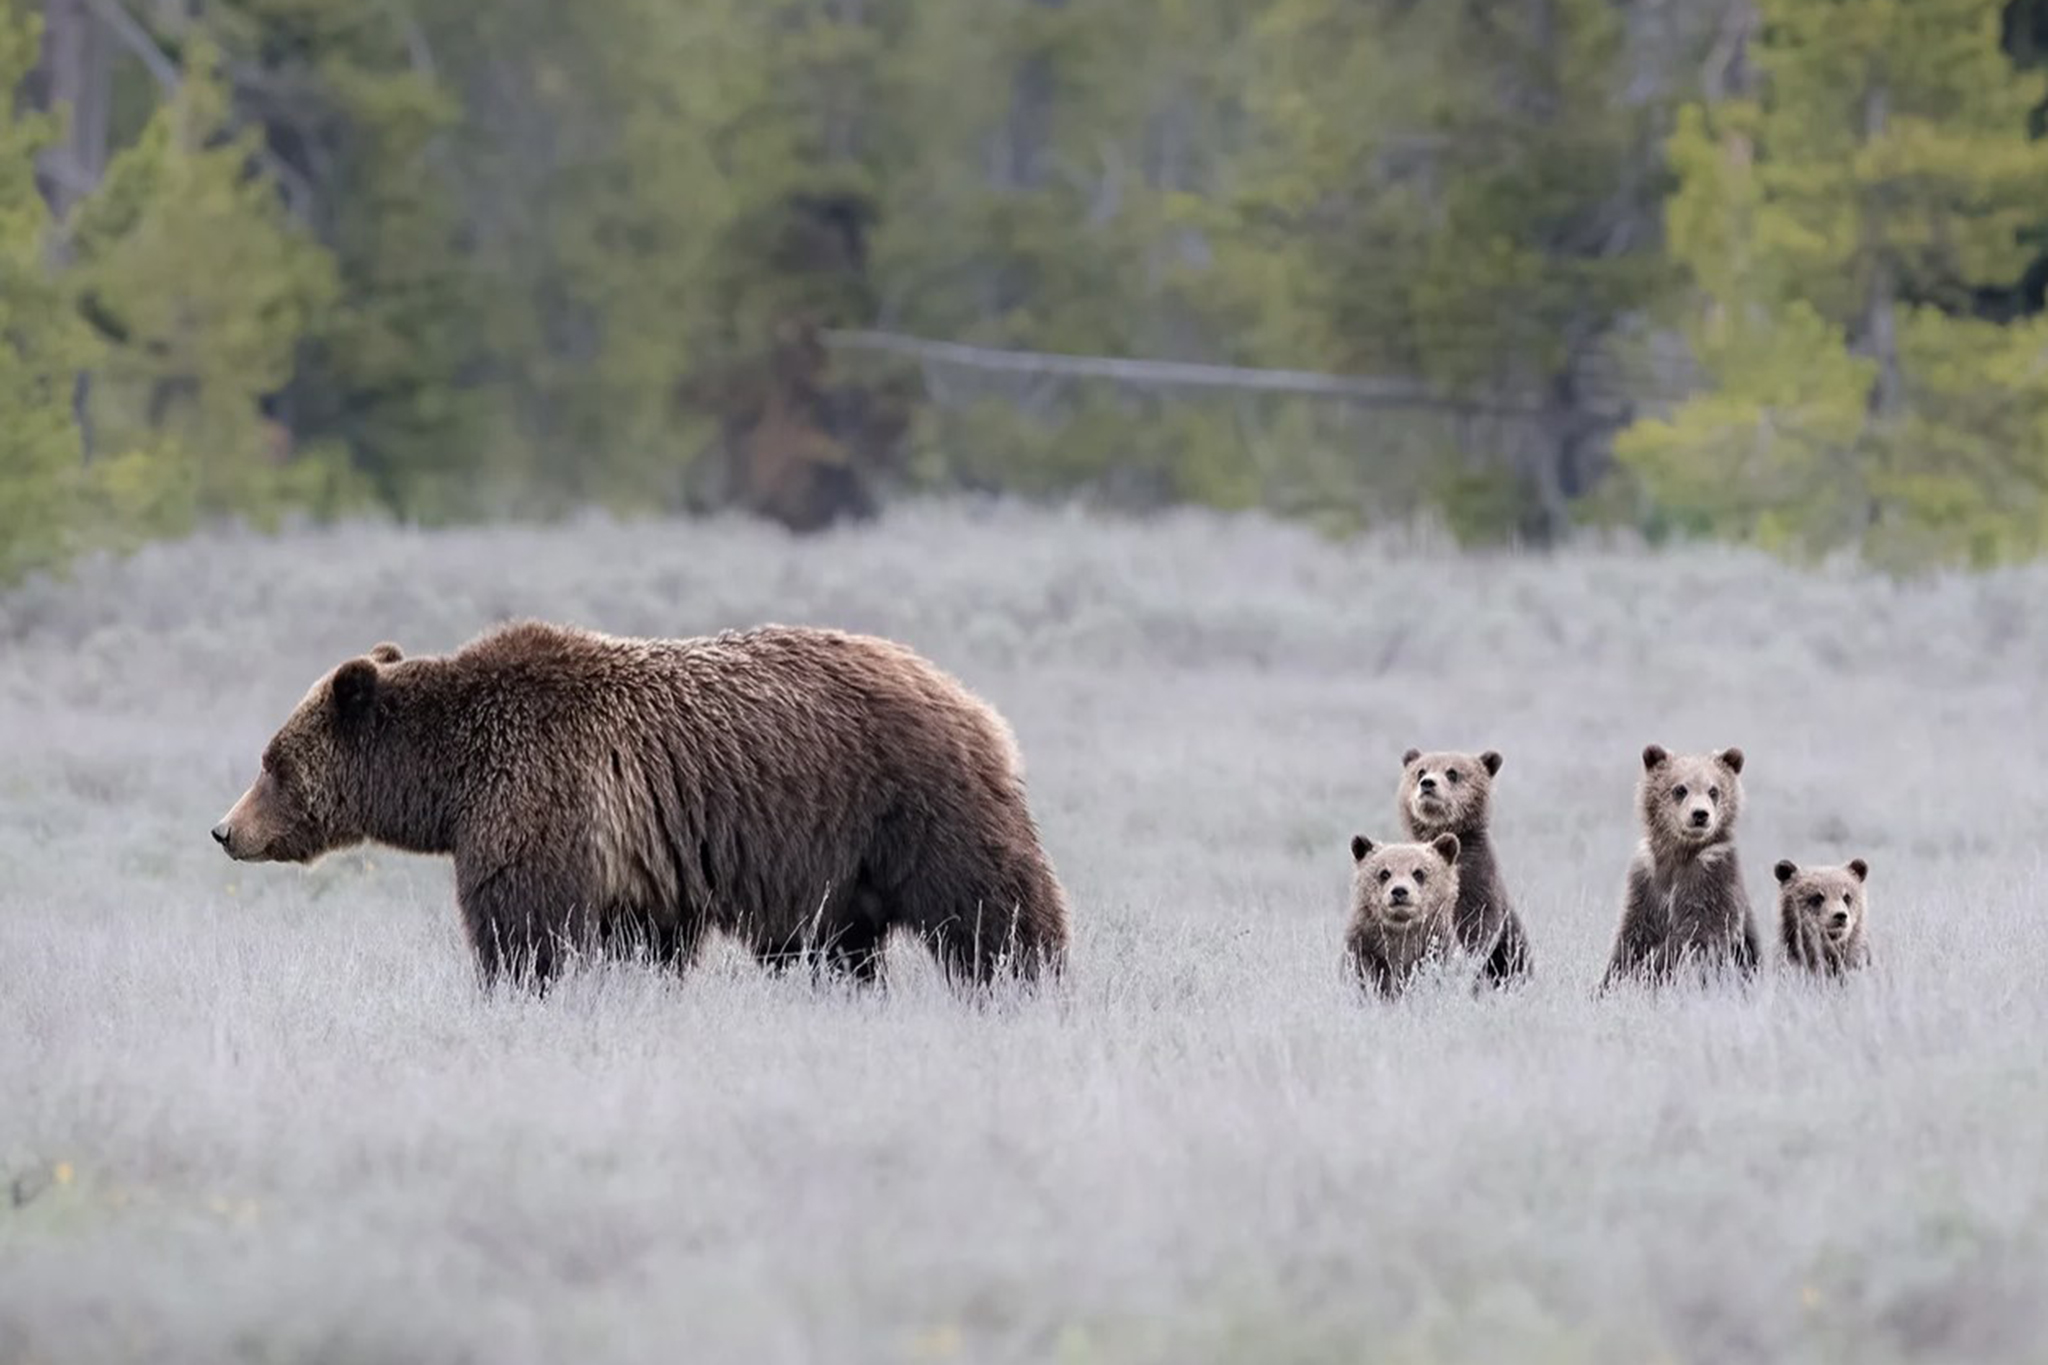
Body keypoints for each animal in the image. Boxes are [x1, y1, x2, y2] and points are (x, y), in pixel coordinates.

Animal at [211, 620, 1070, 991]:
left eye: (271, 761)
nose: (225, 829)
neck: (449, 776)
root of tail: (969, 698)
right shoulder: (639, 860)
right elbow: (640, 940)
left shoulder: (538, 792)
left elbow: (524, 922)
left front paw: (518, 987)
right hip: (841, 860)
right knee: (839, 944)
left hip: (908, 800)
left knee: (989, 901)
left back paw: (1026, 979)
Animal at [1599, 744, 1761, 991]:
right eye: (1680, 789)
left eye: (1713, 790)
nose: (1700, 814)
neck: (1679, 854)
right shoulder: (1647, 882)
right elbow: (1631, 937)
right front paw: (1611, 981)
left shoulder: (1712, 878)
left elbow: (1696, 933)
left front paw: (1647, 970)